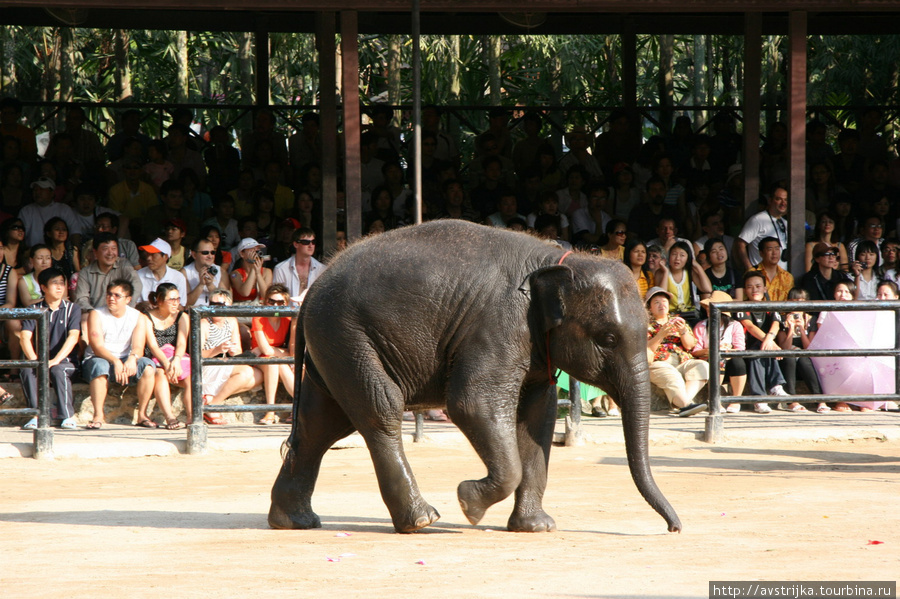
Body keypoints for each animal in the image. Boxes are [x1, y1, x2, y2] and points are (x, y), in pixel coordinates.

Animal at [268, 219, 684, 536]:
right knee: (379, 409)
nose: (674, 528)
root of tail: (309, 295)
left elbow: (537, 418)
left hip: (333, 345)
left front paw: (536, 527)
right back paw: (422, 521)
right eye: (609, 339)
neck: (558, 261)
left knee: (321, 424)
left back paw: (294, 521)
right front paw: (469, 504)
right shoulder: (500, 323)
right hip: (347, 335)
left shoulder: (534, 346)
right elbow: (472, 403)